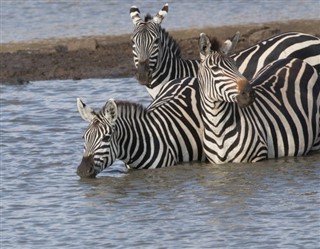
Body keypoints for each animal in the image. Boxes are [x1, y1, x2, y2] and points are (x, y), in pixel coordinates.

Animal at [198, 33, 320, 164]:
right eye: (215, 69)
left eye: (235, 66)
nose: (249, 93)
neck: (218, 128)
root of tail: (296, 60)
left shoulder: (258, 157)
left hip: (317, 141)